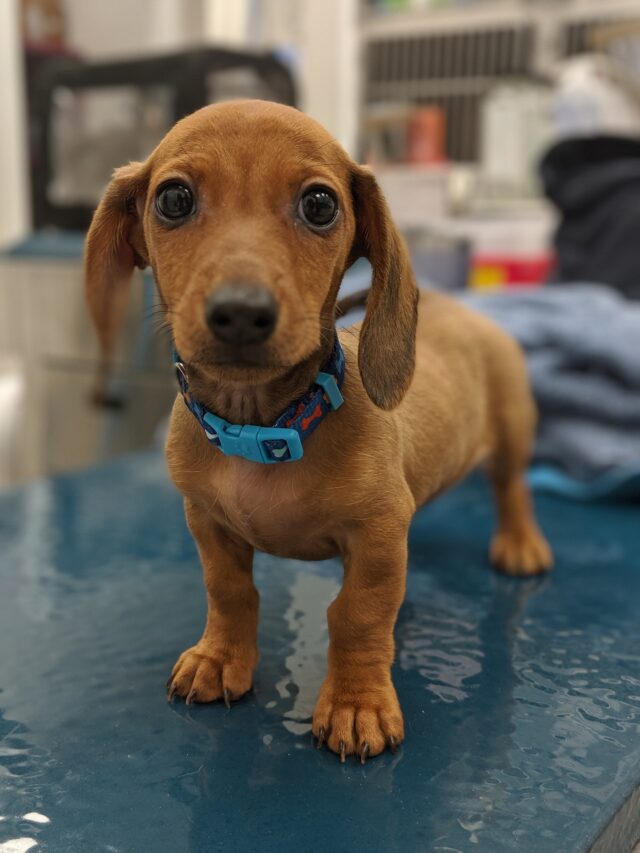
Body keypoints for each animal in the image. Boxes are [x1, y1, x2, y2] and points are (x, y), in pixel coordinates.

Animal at [86, 98, 556, 760]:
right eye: (173, 199)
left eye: (319, 204)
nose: (240, 313)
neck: (267, 432)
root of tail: (463, 307)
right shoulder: (207, 522)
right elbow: (229, 591)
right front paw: (220, 659)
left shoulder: (379, 536)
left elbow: (358, 613)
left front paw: (357, 705)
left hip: (513, 429)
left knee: (511, 488)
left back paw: (519, 543)